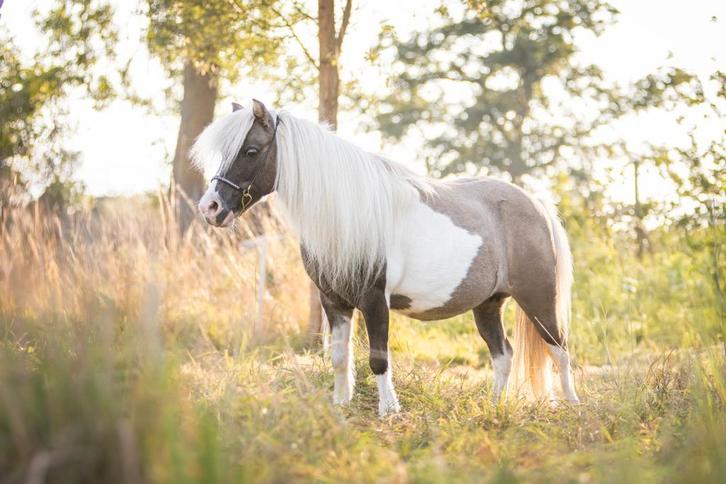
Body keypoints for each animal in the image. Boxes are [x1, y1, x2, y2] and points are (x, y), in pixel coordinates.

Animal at [193, 99, 580, 416]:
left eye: (251, 150)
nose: (210, 208)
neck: (347, 215)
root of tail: (536, 204)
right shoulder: (333, 300)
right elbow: (339, 358)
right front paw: (341, 404)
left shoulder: (374, 300)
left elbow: (378, 359)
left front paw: (389, 411)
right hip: (488, 304)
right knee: (504, 356)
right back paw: (493, 408)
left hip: (538, 298)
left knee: (559, 349)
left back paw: (572, 406)